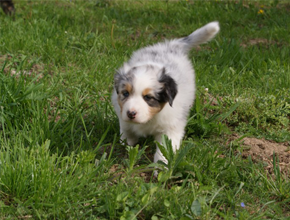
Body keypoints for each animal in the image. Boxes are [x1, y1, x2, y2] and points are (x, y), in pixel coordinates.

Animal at [111, 21, 220, 167]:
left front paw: (160, 168)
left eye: (148, 97)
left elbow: (163, 152)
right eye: (125, 93)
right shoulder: (123, 116)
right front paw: (127, 144)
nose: (131, 113)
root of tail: (172, 45)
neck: (150, 119)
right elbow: (127, 132)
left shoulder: (170, 129)